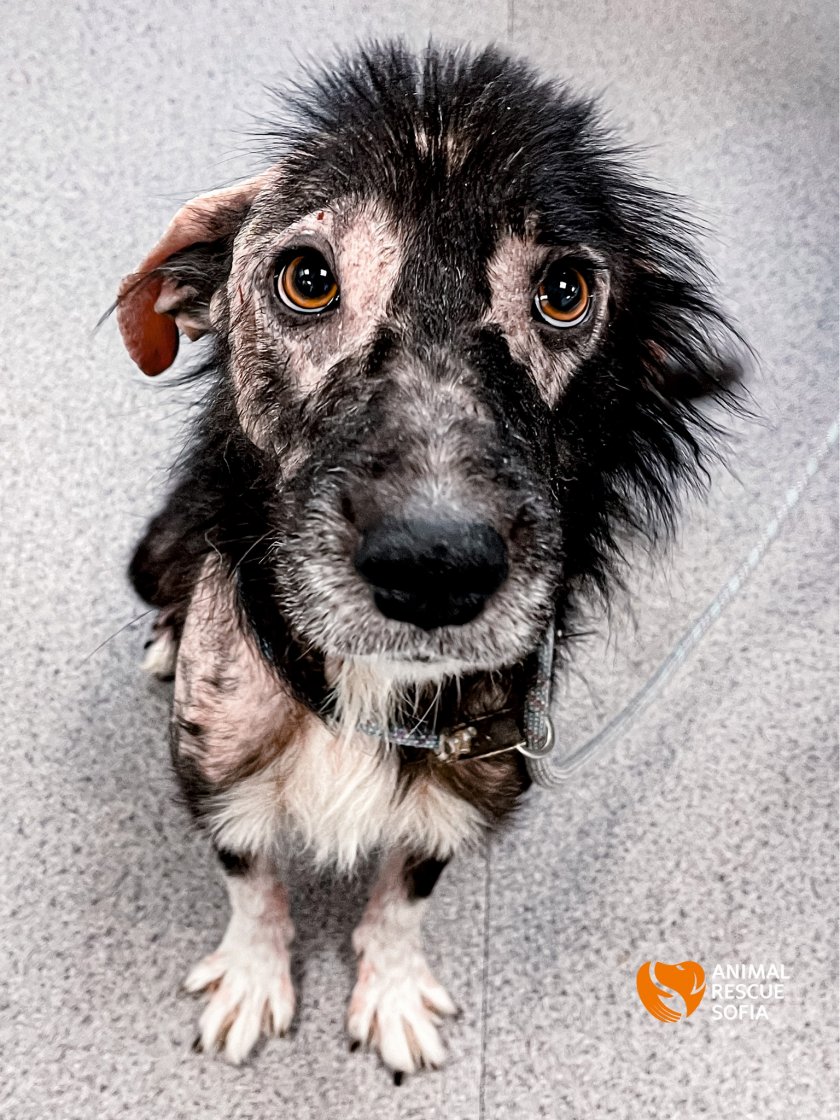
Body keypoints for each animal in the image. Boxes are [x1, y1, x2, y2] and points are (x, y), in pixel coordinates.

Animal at [116, 42, 738, 1079]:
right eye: (307, 278)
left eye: (564, 293)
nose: (435, 567)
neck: (367, 690)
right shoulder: (213, 766)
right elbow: (250, 879)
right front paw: (250, 979)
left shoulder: (476, 771)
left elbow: (408, 890)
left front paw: (395, 992)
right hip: (156, 547)